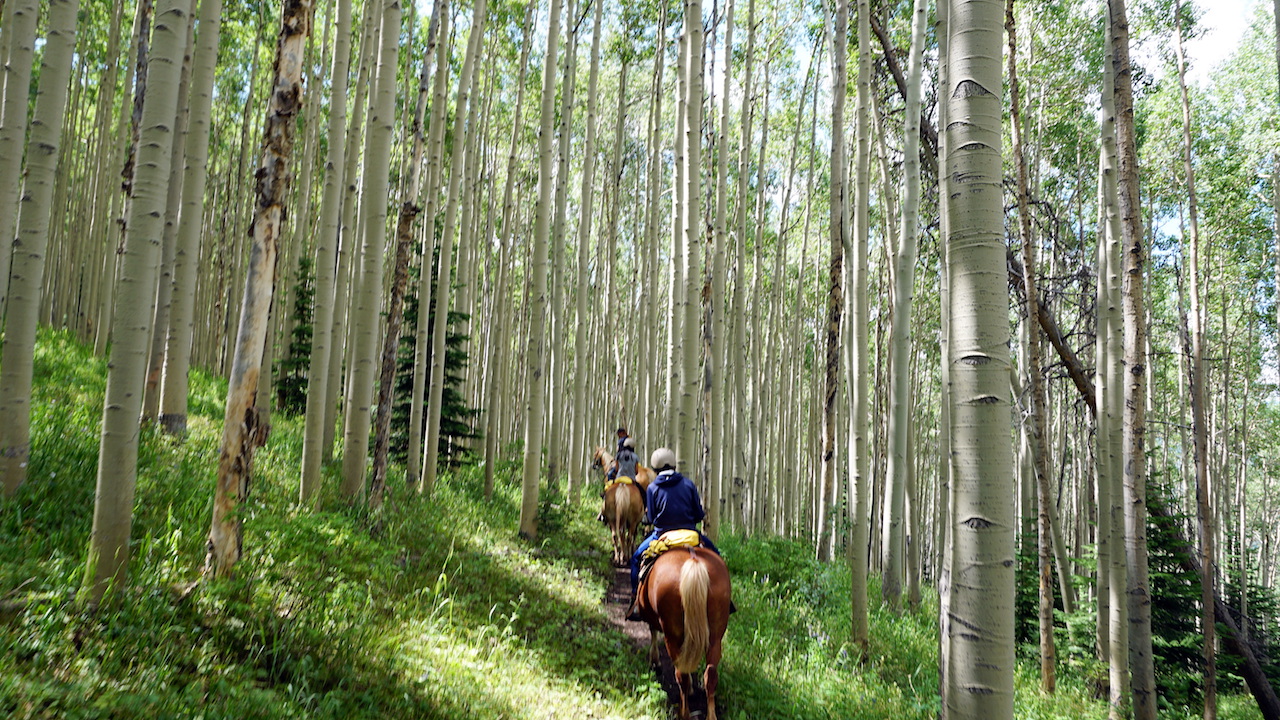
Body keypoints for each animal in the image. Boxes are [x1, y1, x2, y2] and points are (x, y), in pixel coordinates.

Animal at [632, 543, 732, 717]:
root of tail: (694, 561)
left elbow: (652, 631)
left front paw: (655, 662)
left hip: (672, 636)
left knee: (681, 674)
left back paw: (683, 713)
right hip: (715, 637)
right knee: (710, 675)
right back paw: (710, 715)